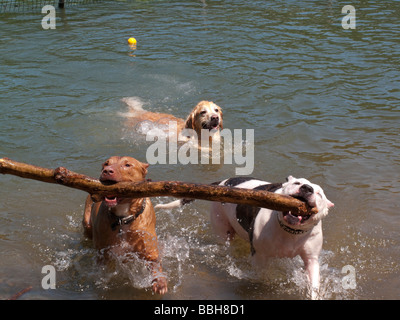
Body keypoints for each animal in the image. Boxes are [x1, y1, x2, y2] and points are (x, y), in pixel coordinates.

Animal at [83, 156, 167, 294]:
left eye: (127, 165)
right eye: (106, 163)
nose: (107, 170)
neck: (123, 218)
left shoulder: (149, 250)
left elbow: (155, 265)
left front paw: (160, 282)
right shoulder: (103, 253)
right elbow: (104, 268)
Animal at [156, 176, 334, 298]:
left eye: (319, 194)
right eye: (297, 183)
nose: (307, 188)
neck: (290, 231)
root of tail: (222, 182)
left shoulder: (311, 260)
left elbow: (313, 284)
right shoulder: (259, 256)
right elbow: (262, 277)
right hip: (222, 228)